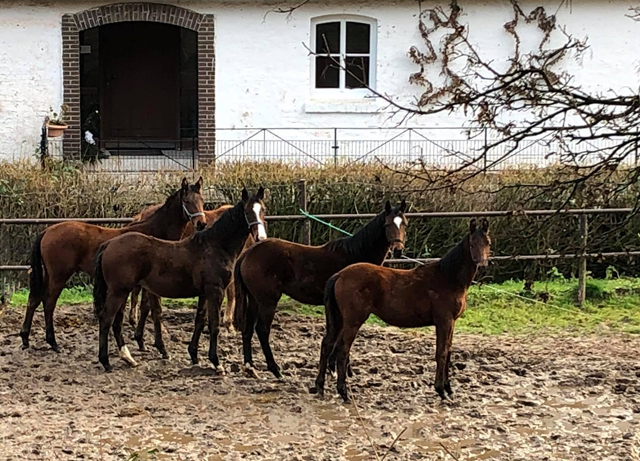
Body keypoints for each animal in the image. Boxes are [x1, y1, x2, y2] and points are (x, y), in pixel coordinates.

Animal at [20, 178, 205, 350]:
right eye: (187, 201)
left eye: (202, 200)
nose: (201, 223)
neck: (153, 232)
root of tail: (47, 231)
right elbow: (149, 308)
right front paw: (145, 341)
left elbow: (145, 308)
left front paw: (141, 341)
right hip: (59, 276)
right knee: (49, 302)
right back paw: (52, 342)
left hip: (47, 275)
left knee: (34, 299)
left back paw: (25, 338)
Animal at [232, 199, 408, 380]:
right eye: (387, 224)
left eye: (405, 224)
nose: (398, 250)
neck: (355, 256)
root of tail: (248, 254)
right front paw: (339, 370)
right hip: (267, 301)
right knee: (262, 330)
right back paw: (275, 370)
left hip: (254, 299)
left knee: (248, 329)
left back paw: (250, 366)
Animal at [310, 217, 490, 400]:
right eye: (472, 243)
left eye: (487, 243)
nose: (482, 264)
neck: (448, 278)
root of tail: (340, 274)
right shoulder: (444, 321)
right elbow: (442, 353)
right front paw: (441, 390)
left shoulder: (451, 322)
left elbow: (449, 352)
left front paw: (448, 389)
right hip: (353, 321)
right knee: (343, 349)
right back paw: (344, 392)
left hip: (339, 319)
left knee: (327, 344)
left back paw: (320, 387)